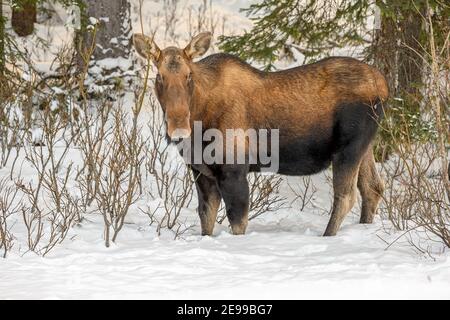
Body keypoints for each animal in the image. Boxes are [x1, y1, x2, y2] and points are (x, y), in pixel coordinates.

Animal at [132, 31, 388, 238]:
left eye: (188, 76)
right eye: (159, 76)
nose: (177, 128)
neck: (199, 120)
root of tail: (384, 86)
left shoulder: (233, 170)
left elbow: (238, 222)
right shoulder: (202, 172)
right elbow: (206, 221)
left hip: (348, 148)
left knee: (346, 196)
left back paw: (327, 235)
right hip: (364, 146)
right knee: (372, 187)